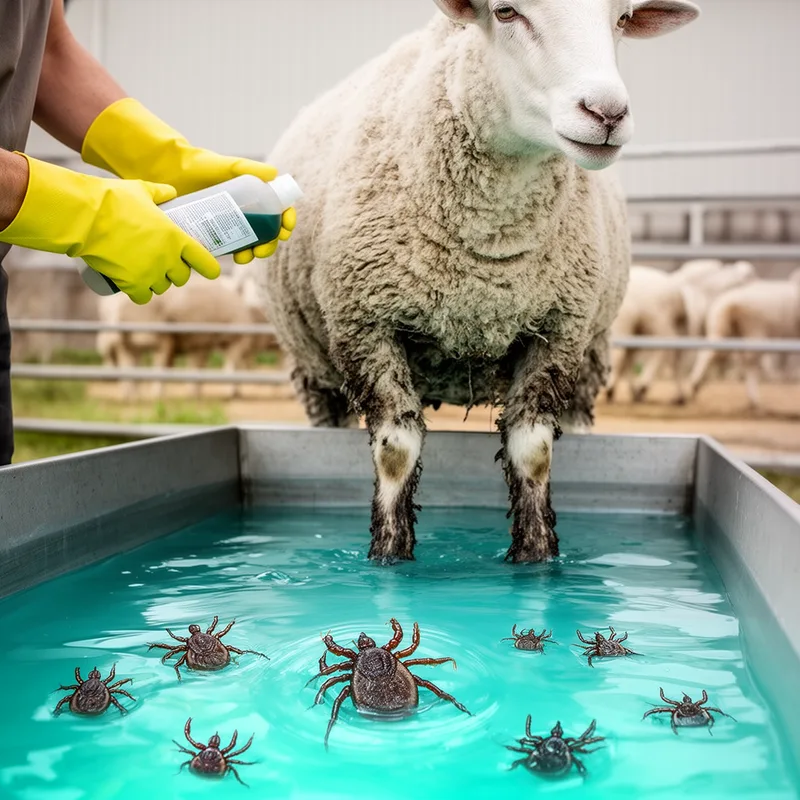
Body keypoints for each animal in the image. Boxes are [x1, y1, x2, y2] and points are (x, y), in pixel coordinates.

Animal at [97, 272, 274, 402]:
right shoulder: (234, 340)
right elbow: (229, 367)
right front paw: (231, 392)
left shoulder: (201, 342)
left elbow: (197, 366)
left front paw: (194, 392)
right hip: (155, 336)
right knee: (155, 366)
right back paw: (154, 395)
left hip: (131, 342)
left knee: (130, 367)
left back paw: (132, 396)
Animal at [259, 0, 700, 563]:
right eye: (506, 12)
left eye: (621, 19)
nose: (607, 113)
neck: (487, 262)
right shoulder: (365, 326)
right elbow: (395, 453)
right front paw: (389, 557)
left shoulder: (558, 330)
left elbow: (534, 452)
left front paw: (536, 557)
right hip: (316, 370)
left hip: (591, 356)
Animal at [686, 270, 800, 411]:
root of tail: (729, 301)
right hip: (754, 330)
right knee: (748, 362)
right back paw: (754, 400)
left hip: (725, 329)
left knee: (708, 352)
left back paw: (696, 385)